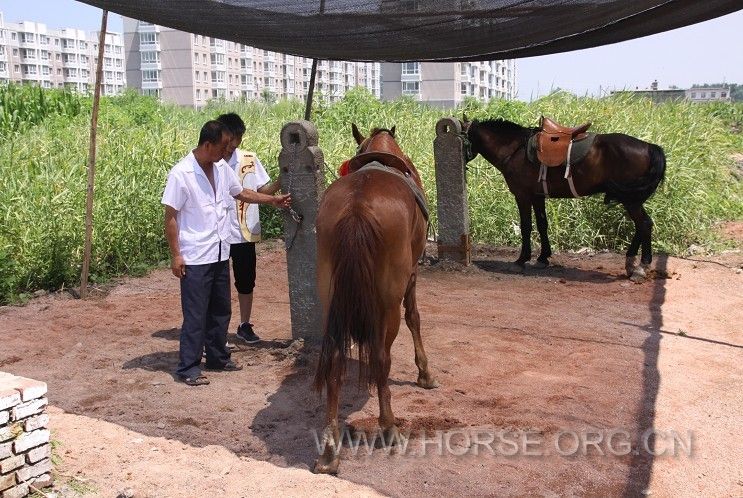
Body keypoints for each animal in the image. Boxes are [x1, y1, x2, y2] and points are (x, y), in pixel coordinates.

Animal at [312, 124, 438, 474]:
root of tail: (357, 208)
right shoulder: (411, 274)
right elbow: (414, 317)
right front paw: (425, 373)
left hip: (331, 295)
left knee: (335, 359)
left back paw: (330, 447)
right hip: (387, 300)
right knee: (382, 357)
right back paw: (389, 426)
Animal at [464, 117, 668, 280]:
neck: (515, 149)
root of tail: (649, 147)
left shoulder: (522, 195)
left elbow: (526, 226)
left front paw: (522, 259)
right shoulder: (537, 196)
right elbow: (542, 224)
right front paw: (543, 257)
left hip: (631, 200)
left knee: (644, 224)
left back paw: (641, 268)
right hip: (632, 199)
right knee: (641, 226)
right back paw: (631, 263)